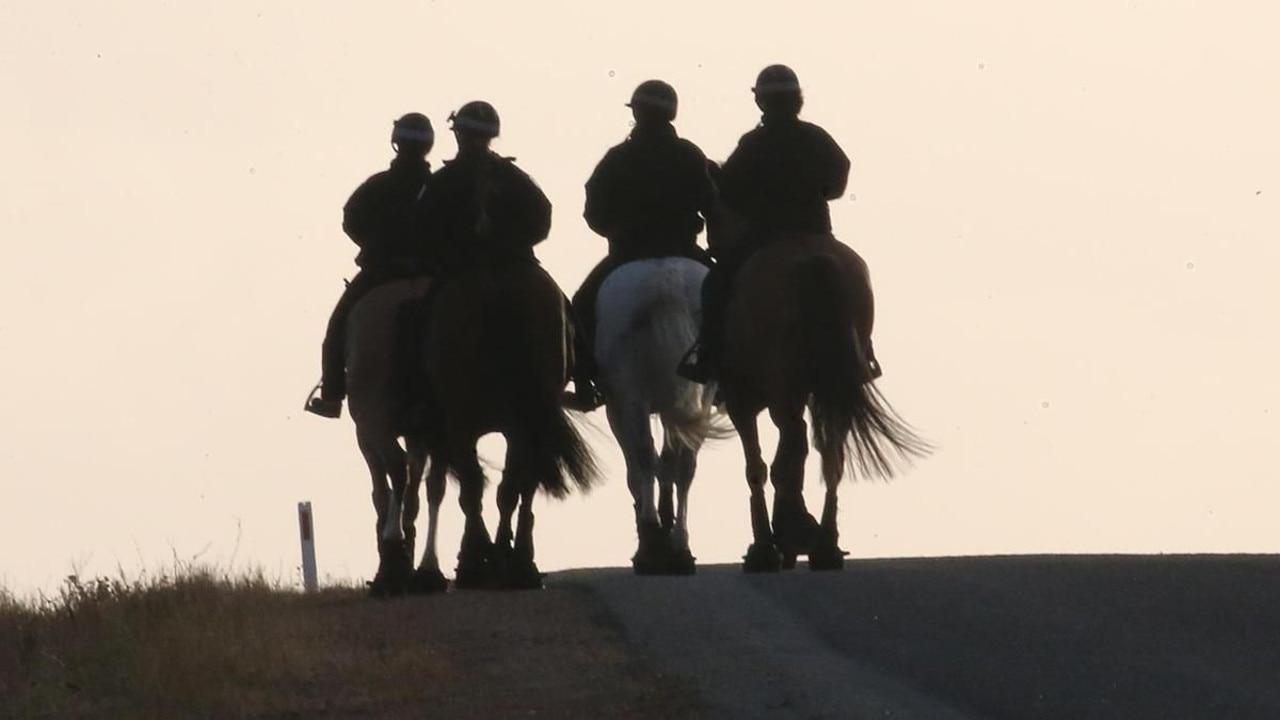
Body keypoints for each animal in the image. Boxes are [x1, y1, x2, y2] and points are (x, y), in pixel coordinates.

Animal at [593, 254, 737, 573]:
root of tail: (663, 281)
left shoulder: (617, 407)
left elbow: (636, 471)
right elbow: (668, 464)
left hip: (633, 397)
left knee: (646, 456)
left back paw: (651, 538)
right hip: (698, 394)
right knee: (684, 463)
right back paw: (679, 544)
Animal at [711, 221, 931, 568]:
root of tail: (815, 261)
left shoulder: (740, 401)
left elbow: (755, 468)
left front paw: (764, 547)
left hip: (781, 389)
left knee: (793, 446)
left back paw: (792, 533)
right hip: (832, 390)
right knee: (830, 457)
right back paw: (823, 543)